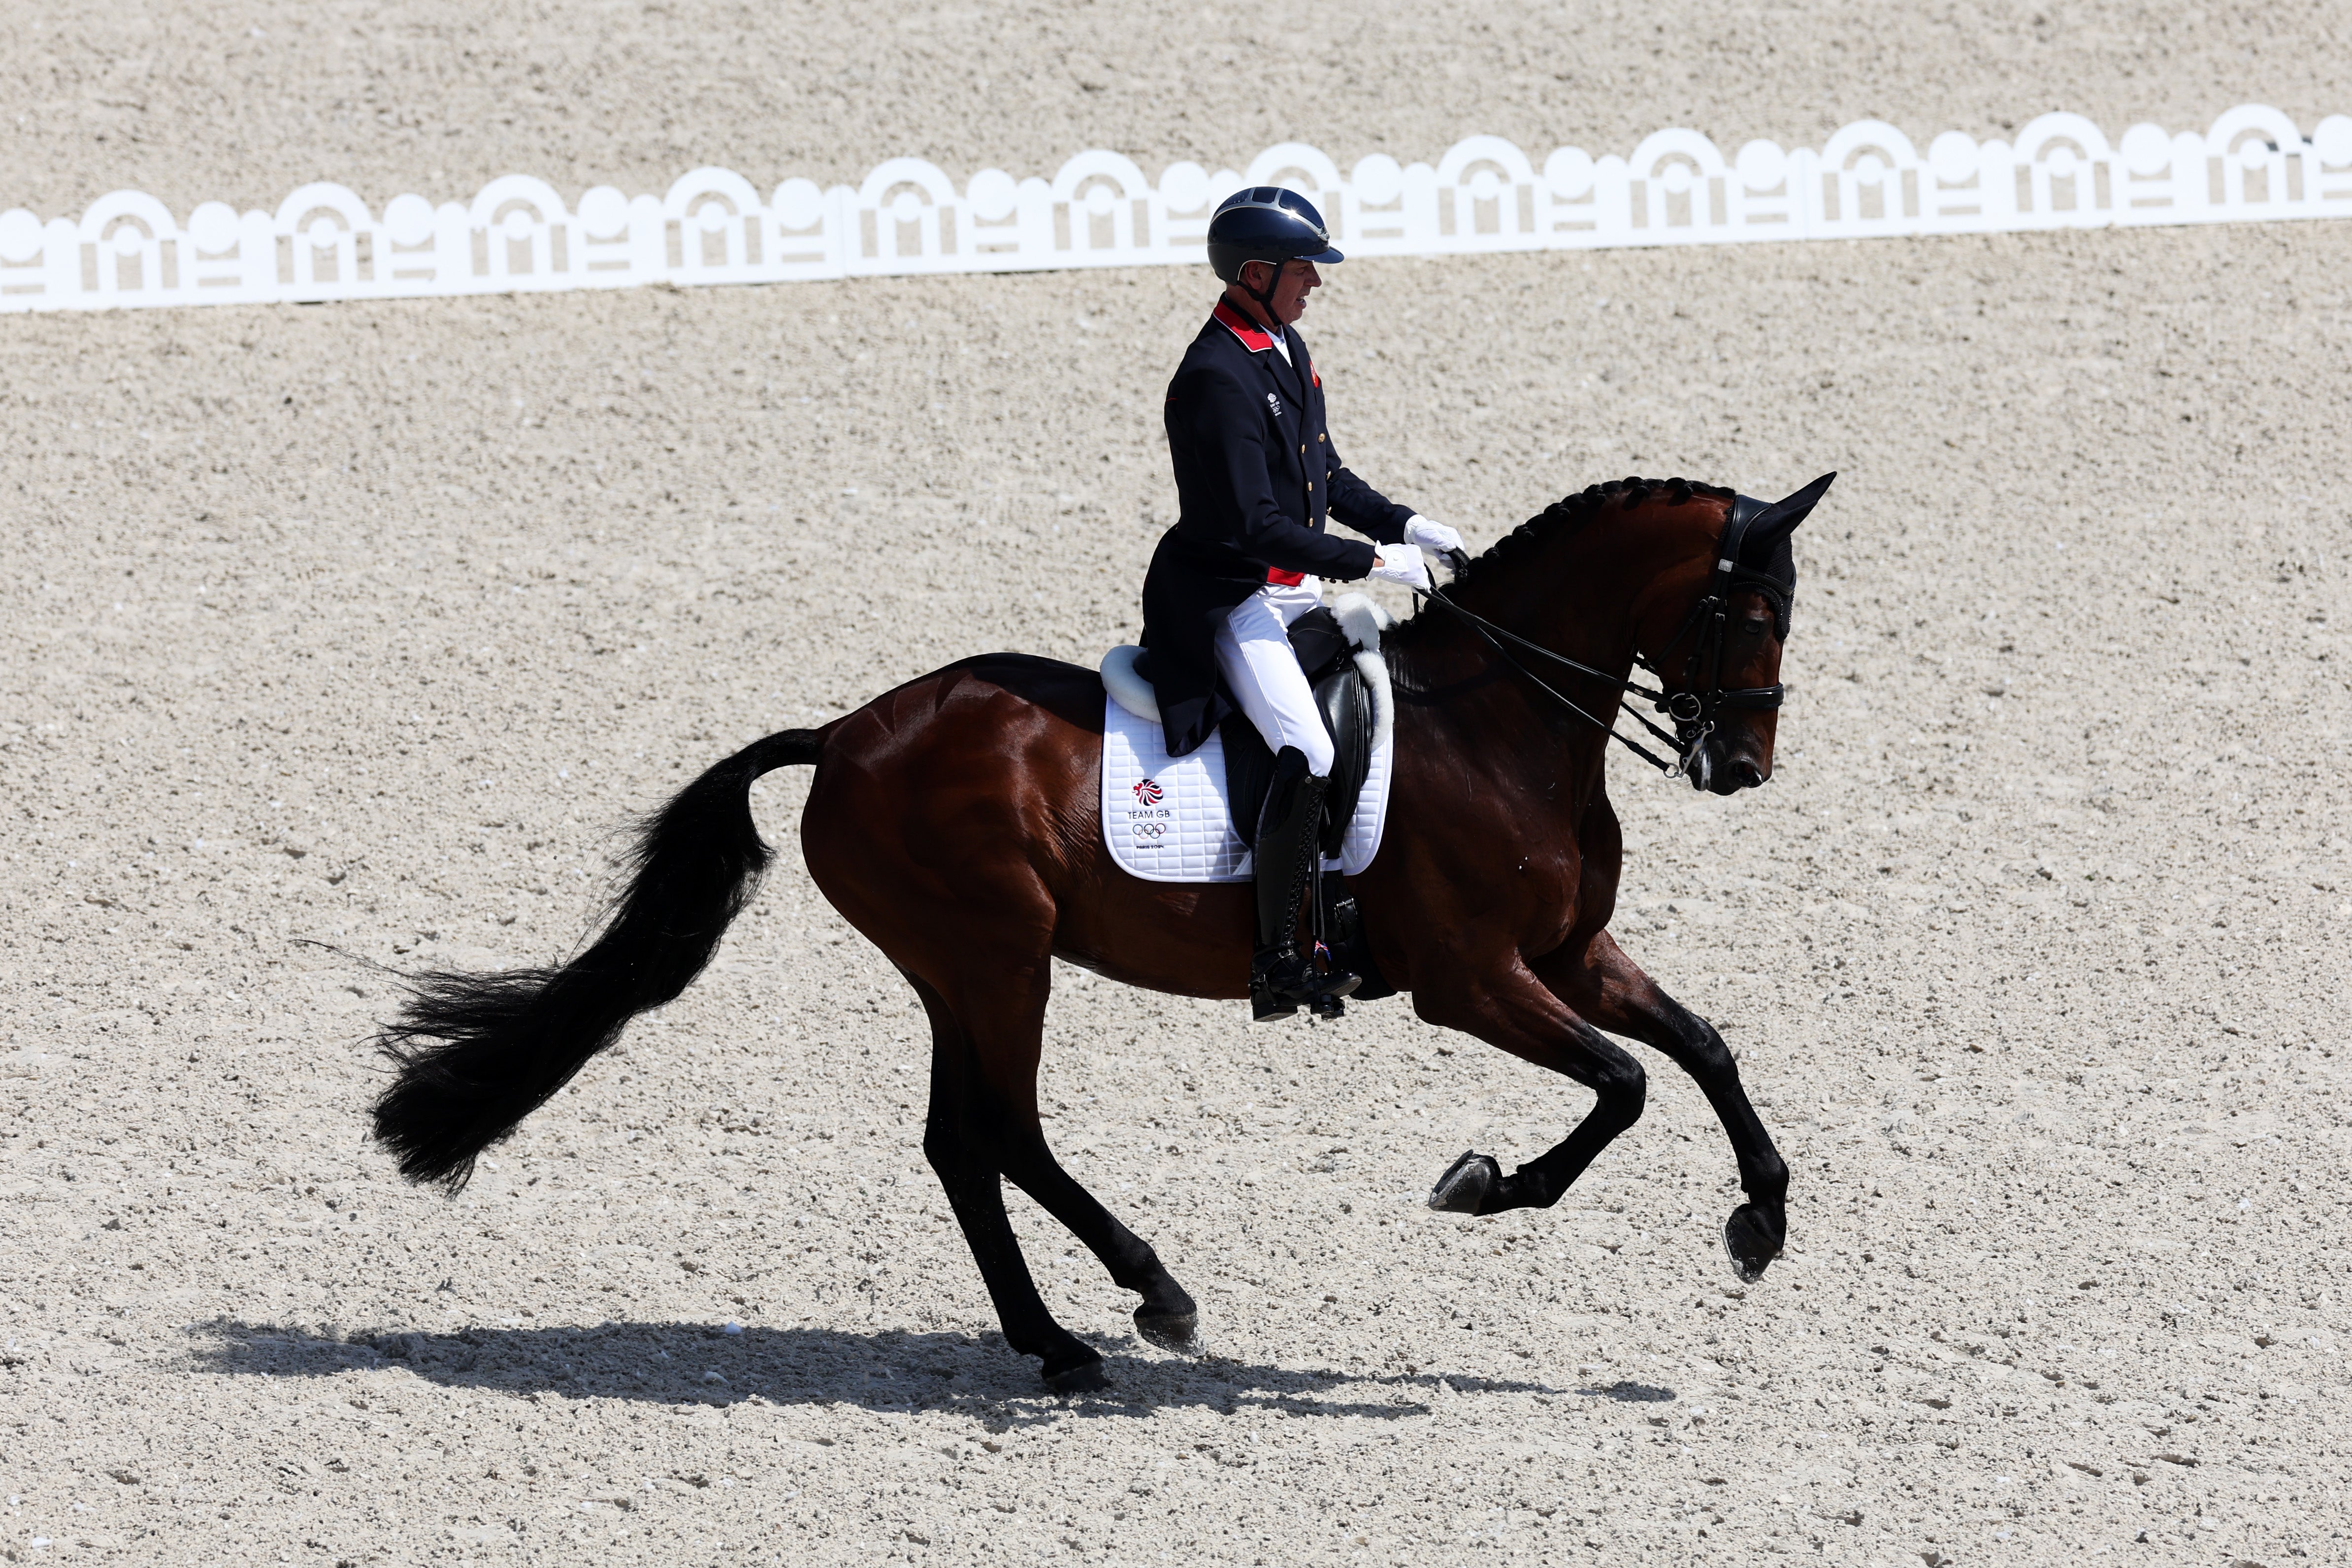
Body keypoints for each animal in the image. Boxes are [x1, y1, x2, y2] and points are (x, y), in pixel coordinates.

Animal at [371, 472, 1834, 1391]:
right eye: (1752, 610)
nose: (1742, 768)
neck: (1501, 723)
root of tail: (843, 736)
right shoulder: (1470, 979)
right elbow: (1625, 1081)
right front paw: (1488, 1183)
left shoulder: (1569, 955)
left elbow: (1703, 1049)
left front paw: (1759, 1222)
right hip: (998, 957)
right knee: (1003, 1132)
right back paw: (1151, 1295)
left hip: (960, 969)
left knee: (959, 1144)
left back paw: (1058, 1341)